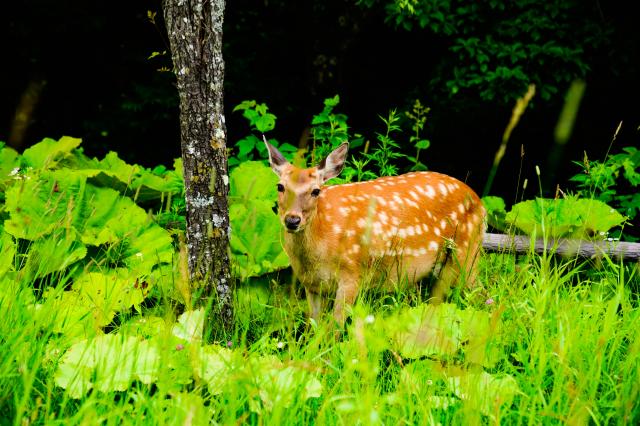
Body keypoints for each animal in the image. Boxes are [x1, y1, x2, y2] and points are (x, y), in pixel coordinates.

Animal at [265, 139, 486, 325]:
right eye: (280, 186)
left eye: (316, 190)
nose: (292, 220)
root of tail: (480, 203)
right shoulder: (310, 284)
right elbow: (314, 326)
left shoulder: (353, 273)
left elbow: (334, 329)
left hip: (467, 252)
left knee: (479, 295)